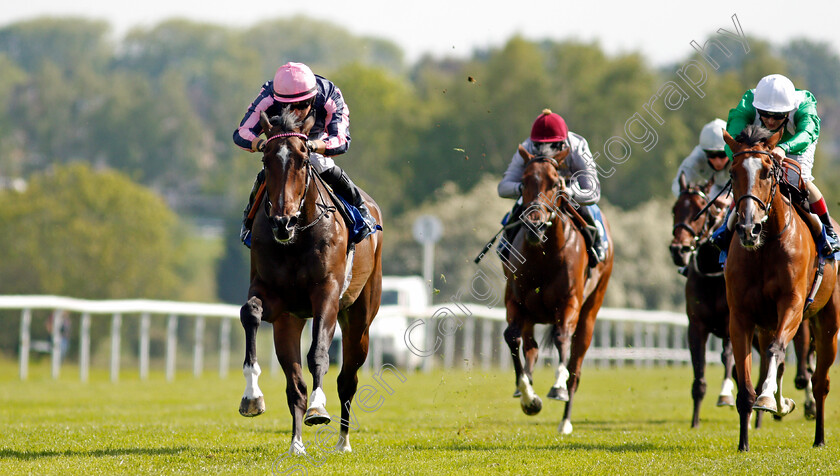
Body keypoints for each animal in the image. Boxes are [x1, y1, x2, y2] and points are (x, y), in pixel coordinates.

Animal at [235, 109, 382, 456]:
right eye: (266, 160)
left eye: (303, 159)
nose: (282, 222)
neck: (297, 237)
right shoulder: (274, 299)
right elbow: (250, 312)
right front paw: (251, 396)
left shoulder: (326, 294)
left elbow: (318, 353)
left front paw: (318, 407)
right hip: (289, 322)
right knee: (295, 384)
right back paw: (296, 444)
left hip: (360, 318)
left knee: (348, 379)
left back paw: (342, 441)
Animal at [502, 143, 612, 434]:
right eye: (524, 181)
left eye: (555, 183)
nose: (535, 225)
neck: (543, 254)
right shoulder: (515, 301)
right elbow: (512, 338)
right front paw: (528, 397)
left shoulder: (569, 302)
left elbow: (563, 339)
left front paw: (557, 386)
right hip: (531, 315)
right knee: (531, 348)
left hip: (591, 310)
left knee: (576, 366)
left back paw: (565, 420)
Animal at [720, 125, 840, 450]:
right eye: (733, 172)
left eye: (766, 172)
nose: (748, 229)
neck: (764, 248)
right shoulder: (741, 316)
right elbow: (746, 383)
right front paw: (744, 442)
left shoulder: (793, 305)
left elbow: (777, 351)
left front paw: (767, 399)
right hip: (766, 324)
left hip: (828, 322)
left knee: (820, 382)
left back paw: (819, 436)